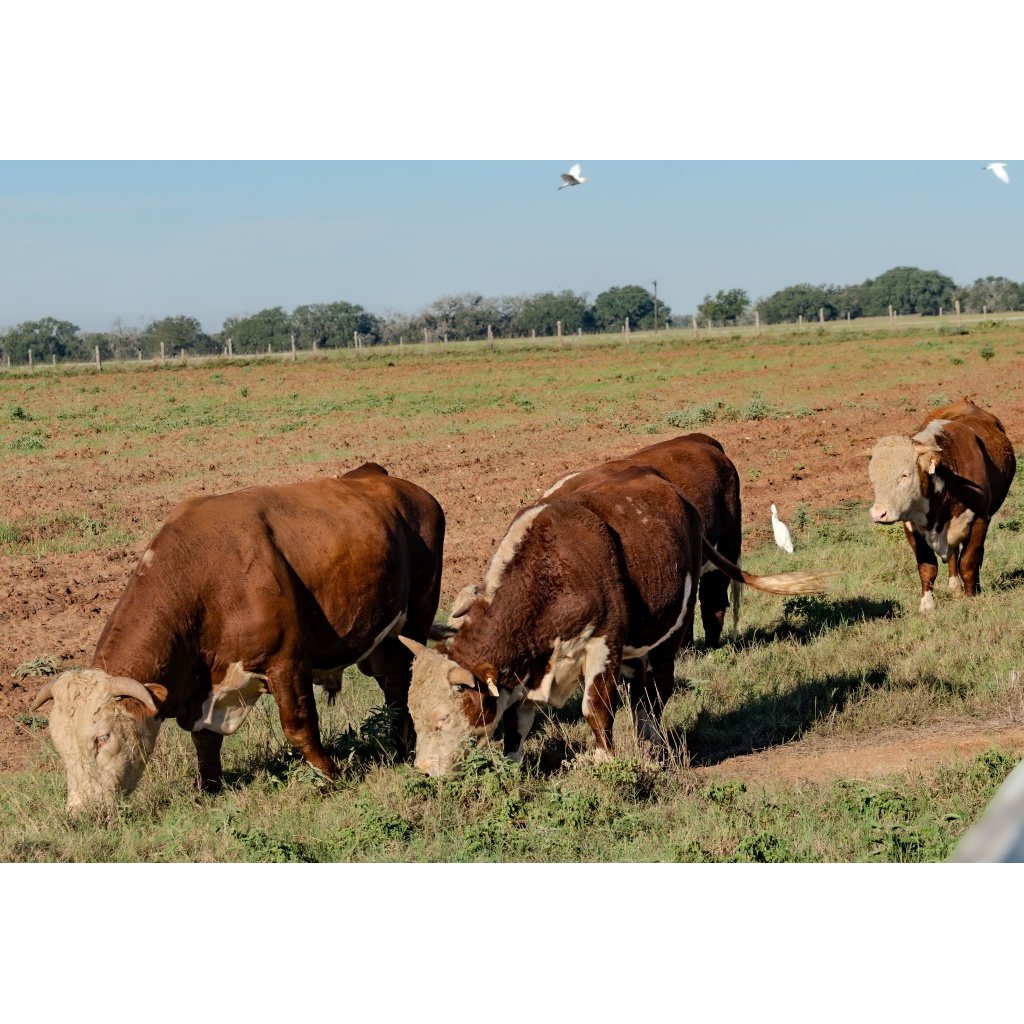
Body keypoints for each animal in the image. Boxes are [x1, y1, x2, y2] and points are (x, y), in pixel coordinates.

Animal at [30, 464, 445, 814]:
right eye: (59, 745)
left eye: (101, 738)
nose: (81, 813)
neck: (204, 579)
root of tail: (399, 485)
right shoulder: (206, 692)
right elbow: (206, 742)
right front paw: (209, 788)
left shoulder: (286, 662)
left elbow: (300, 727)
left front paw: (332, 776)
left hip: (414, 621)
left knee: (400, 684)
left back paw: (402, 746)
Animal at [400, 463, 831, 776]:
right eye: (415, 716)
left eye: (443, 717)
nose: (424, 771)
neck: (550, 572)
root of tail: (674, 493)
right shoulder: (525, 669)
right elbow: (516, 723)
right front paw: (510, 768)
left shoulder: (603, 645)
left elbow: (596, 709)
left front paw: (604, 762)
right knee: (639, 692)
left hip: (670, 634)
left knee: (654, 695)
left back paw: (652, 745)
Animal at [866, 398, 1016, 612]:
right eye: (872, 478)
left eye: (905, 475)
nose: (879, 514)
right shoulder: (911, 525)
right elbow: (927, 568)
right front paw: (927, 605)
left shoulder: (980, 518)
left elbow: (969, 562)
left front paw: (970, 598)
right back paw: (954, 586)